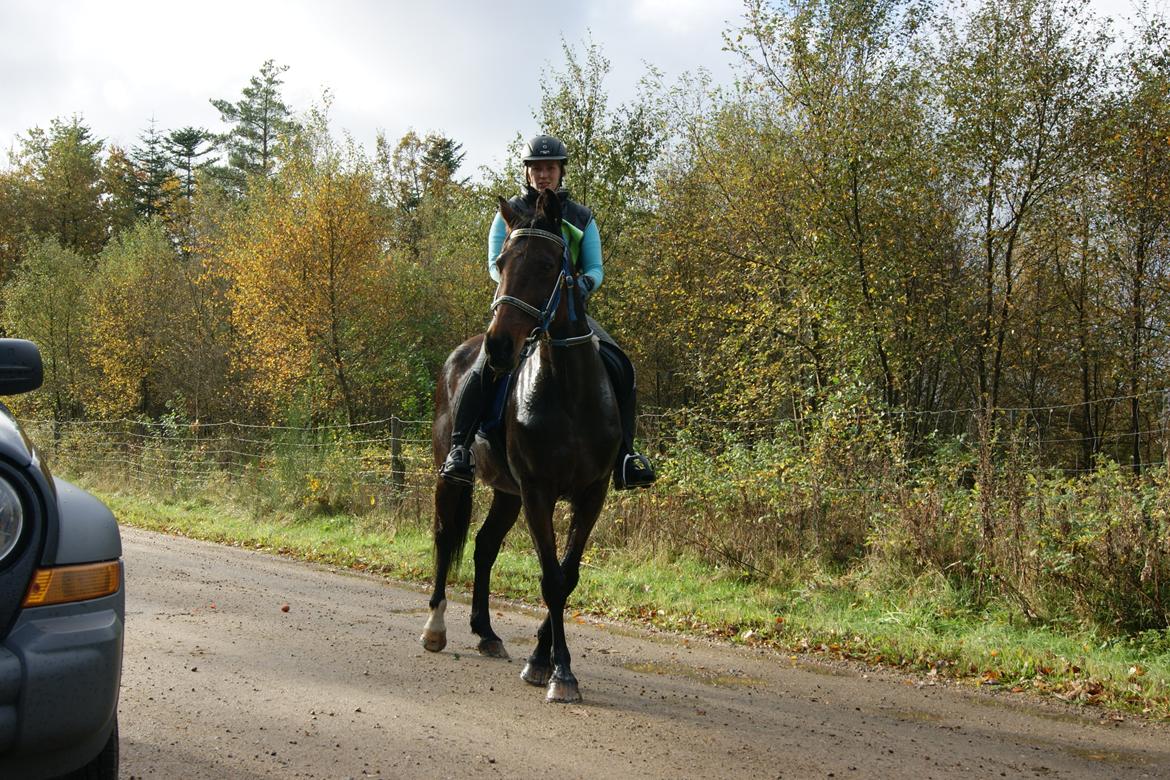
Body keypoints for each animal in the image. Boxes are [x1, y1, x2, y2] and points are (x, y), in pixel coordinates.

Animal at [418, 190, 622, 706]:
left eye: (550, 265)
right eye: (502, 262)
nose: (499, 348)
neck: (568, 392)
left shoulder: (591, 494)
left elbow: (567, 576)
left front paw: (545, 660)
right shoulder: (538, 492)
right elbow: (551, 576)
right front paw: (558, 671)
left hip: (506, 493)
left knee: (484, 547)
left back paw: (486, 632)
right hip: (455, 479)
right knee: (444, 537)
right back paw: (435, 628)